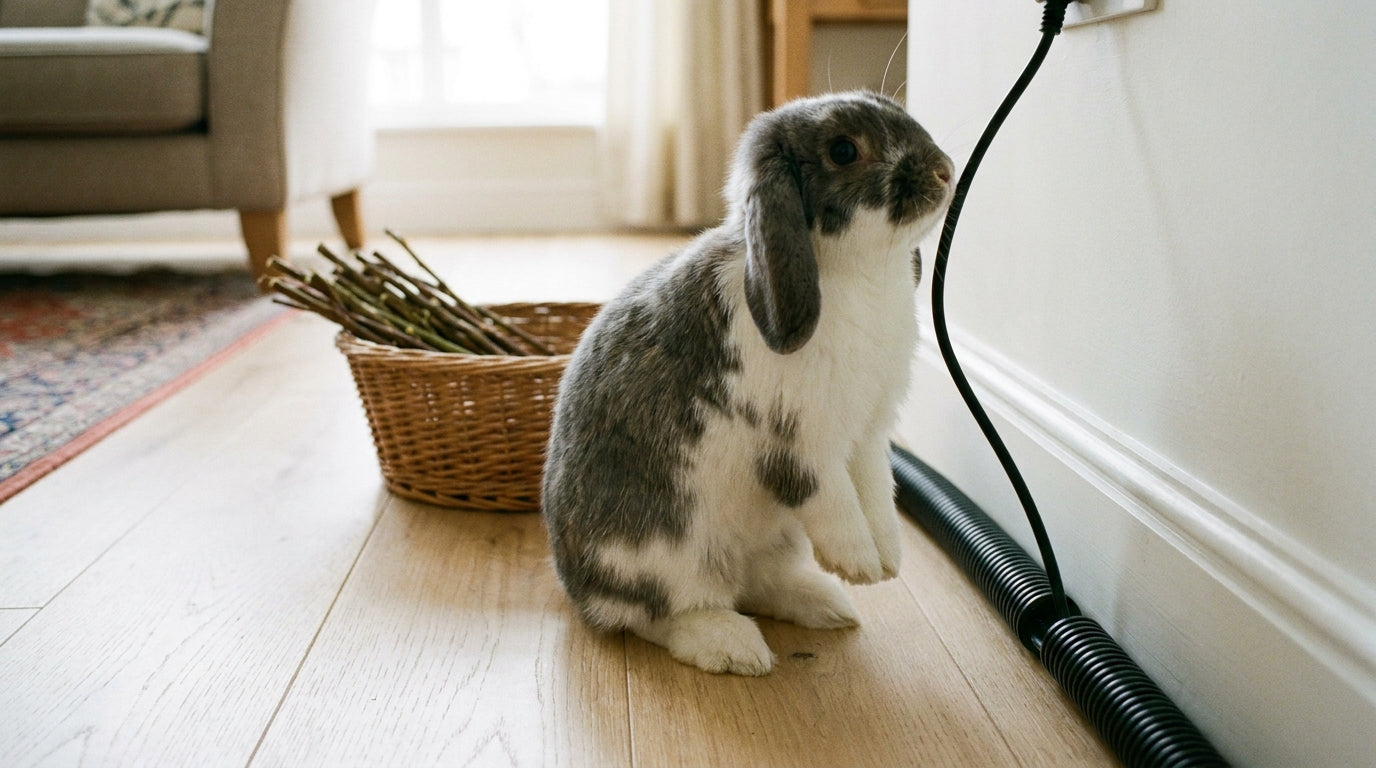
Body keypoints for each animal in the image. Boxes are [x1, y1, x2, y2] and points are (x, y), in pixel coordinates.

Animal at [542, 91, 954, 676]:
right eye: (843, 150)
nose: (946, 170)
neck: (857, 274)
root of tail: (575, 588)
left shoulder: (869, 435)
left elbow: (878, 495)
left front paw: (887, 561)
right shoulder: (799, 444)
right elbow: (833, 500)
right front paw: (859, 564)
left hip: (773, 541)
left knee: (758, 584)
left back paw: (827, 604)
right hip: (668, 555)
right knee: (657, 616)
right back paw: (735, 647)